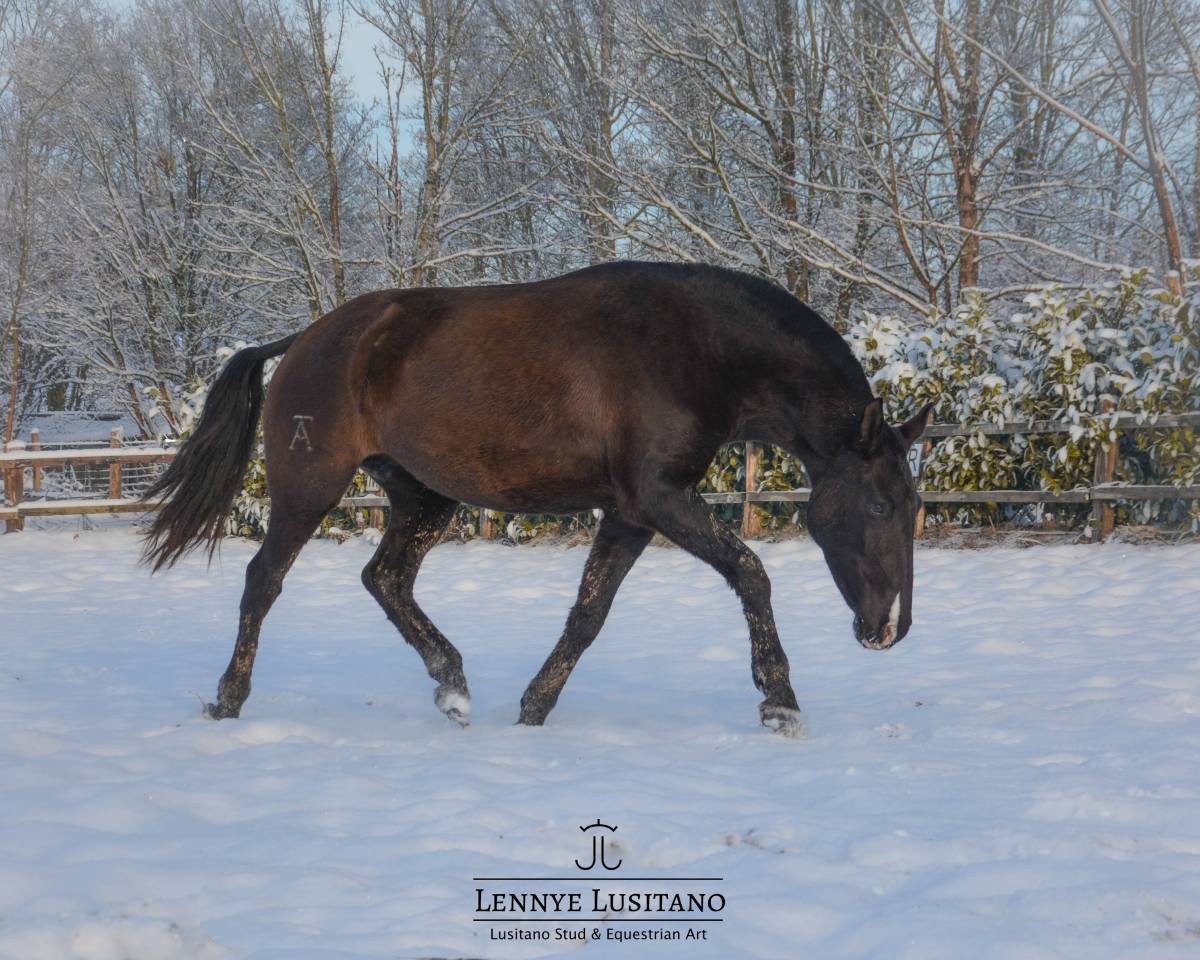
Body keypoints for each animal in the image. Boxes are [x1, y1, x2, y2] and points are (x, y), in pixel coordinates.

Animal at [143, 261, 932, 737]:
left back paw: (453, 686)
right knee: (264, 581)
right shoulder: (661, 499)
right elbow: (752, 574)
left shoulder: (633, 513)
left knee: (385, 578)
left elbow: (588, 614)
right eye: (879, 507)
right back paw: (229, 698)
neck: (694, 349)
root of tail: (304, 340)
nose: (887, 630)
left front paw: (533, 707)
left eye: (913, 505)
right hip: (310, 488)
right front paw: (779, 702)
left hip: (424, 498)